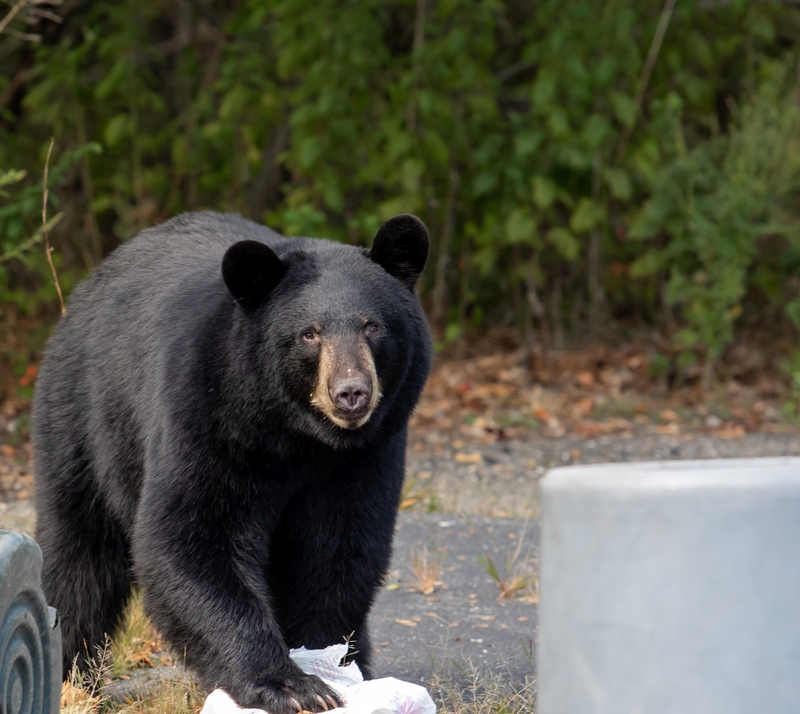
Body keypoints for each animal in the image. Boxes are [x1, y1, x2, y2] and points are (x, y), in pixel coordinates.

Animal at [32, 209, 432, 708]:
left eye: (373, 326)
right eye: (309, 334)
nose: (351, 393)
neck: (297, 438)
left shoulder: (365, 455)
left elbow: (338, 550)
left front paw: (326, 663)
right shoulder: (207, 417)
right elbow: (191, 538)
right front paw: (291, 686)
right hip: (86, 420)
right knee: (78, 556)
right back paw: (73, 679)